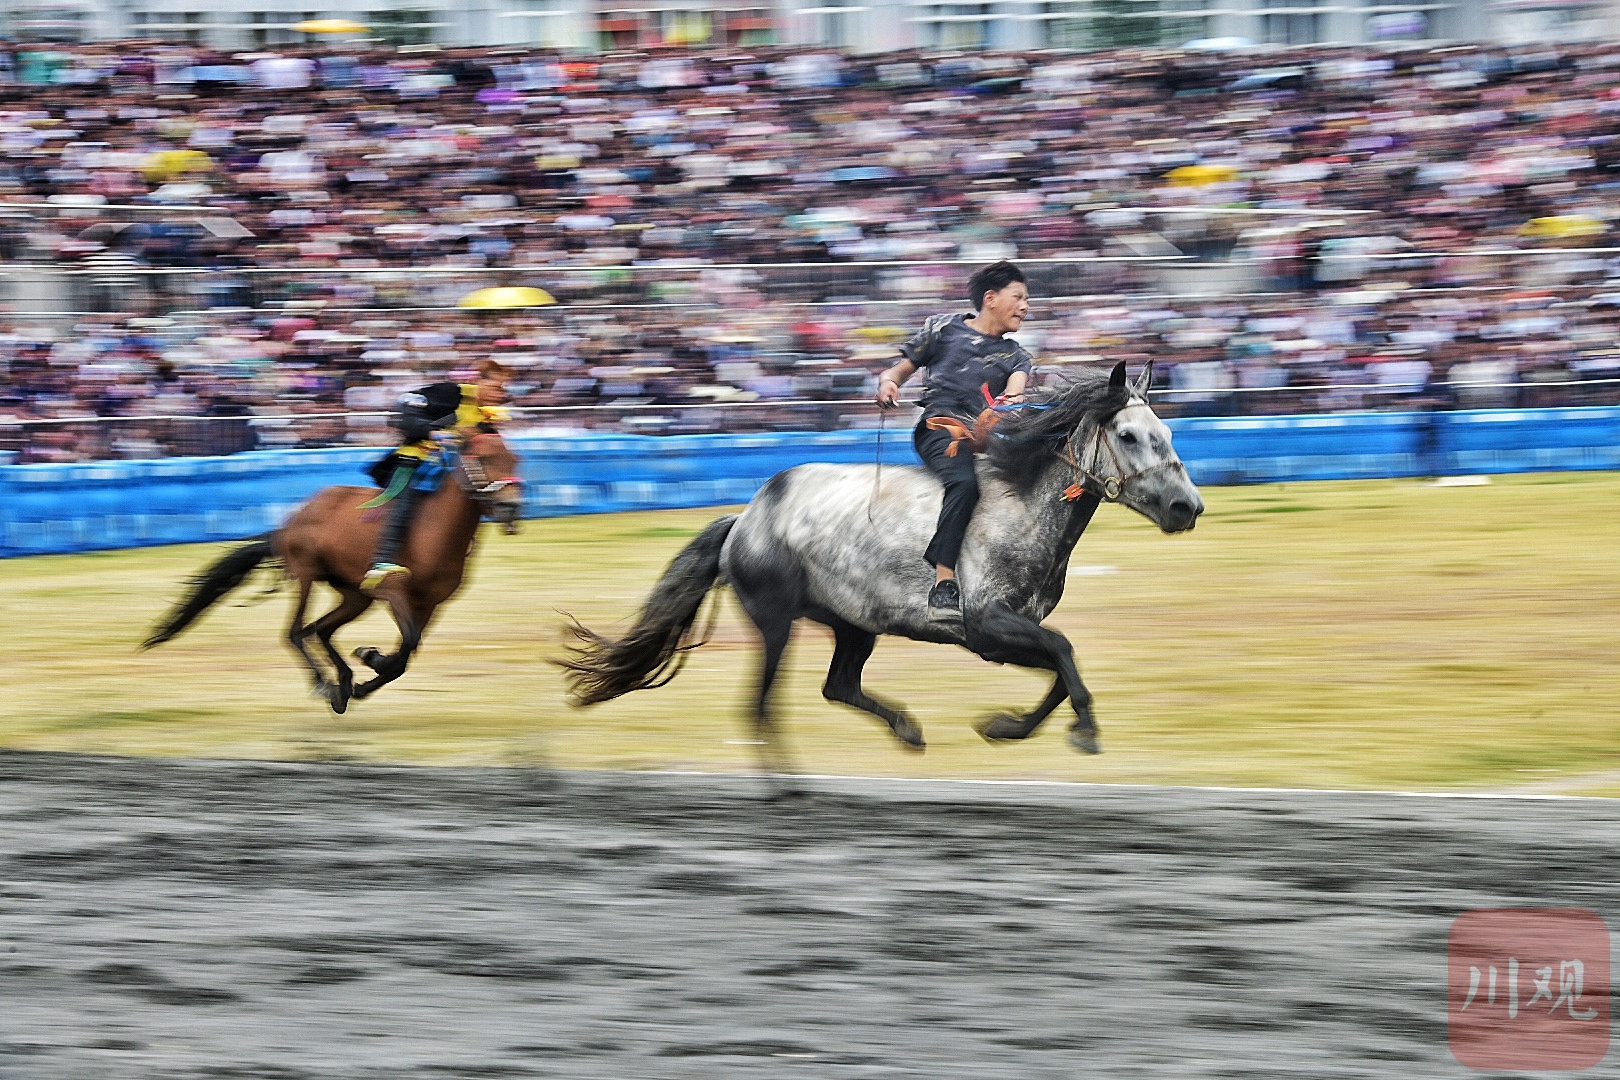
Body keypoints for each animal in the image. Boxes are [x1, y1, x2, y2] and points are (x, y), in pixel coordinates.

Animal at [145, 430, 521, 718]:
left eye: (515, 459)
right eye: (485, 457)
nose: (511, 507)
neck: (431, 529)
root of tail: (290, 521)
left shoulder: (430, 603)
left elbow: (406, 653)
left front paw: (368, 668)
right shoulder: (392, 590)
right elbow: (407, 645)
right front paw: (370, 661)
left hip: (355, 595)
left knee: (320, 629)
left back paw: (342, 682)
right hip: (307, 574)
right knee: (296, 632)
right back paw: (326, 683)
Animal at [557, 362, 1205, 767]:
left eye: (1168, 431)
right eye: (1129, 434)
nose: (1188, 507)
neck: (1020, 504)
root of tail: (744, 519)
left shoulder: (1002, 636)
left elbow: (1059, 674)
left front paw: (1003, 727)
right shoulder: (988, 625)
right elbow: (1067, 655)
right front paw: (1086, 732)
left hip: (853, 626)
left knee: (836, 686)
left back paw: (907, 731)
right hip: (776, 623)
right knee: (762, 708)